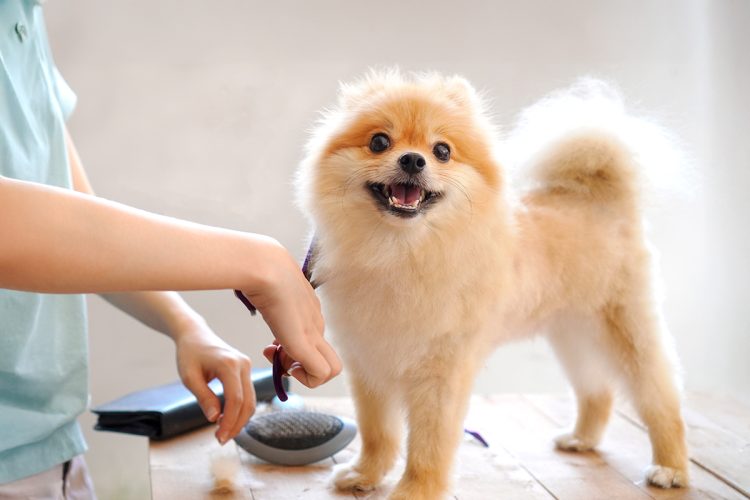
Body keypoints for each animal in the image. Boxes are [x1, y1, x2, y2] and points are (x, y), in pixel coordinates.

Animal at [296, 71, 692, 500]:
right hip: (573, 334)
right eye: (379, 142)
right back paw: (581, 438)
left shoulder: (442, 372)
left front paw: (416, 491)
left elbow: (428, 445)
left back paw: (670, 468)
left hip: (626, 331)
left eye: (442, 151)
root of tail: (604, 200)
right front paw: (365, 474)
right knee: (597, 391)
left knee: (661, 400)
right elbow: (378, 433)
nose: (413, 160)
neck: (400, 251)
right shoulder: (370, 360)